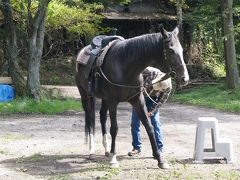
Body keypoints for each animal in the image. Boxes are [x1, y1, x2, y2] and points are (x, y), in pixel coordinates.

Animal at [75, 25, 189, 169]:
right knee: (90, 119)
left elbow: (149, 126)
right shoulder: (113, 101)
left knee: (101, 117)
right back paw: (92, 151)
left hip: (104, 99)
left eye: (182, 50)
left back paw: (106, 150)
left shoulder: (137, 100)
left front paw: (160, 159)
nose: (185, 78)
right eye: (170, 50)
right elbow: (114, 129)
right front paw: (114, 159)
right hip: (86, 95)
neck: (124, 66)